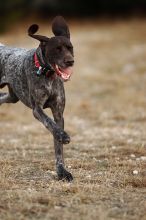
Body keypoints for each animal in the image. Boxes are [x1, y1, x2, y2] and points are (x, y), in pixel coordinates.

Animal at [0, 15, 74, 180]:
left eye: (70, 48)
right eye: (57, 49)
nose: (70, 61)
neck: (47, 73)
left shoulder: (58, 113)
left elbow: (58, 148)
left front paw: (62, 171)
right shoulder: (37, 110)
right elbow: (50, 123)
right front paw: (62, 135)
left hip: (13, 96)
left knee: (4, 97)